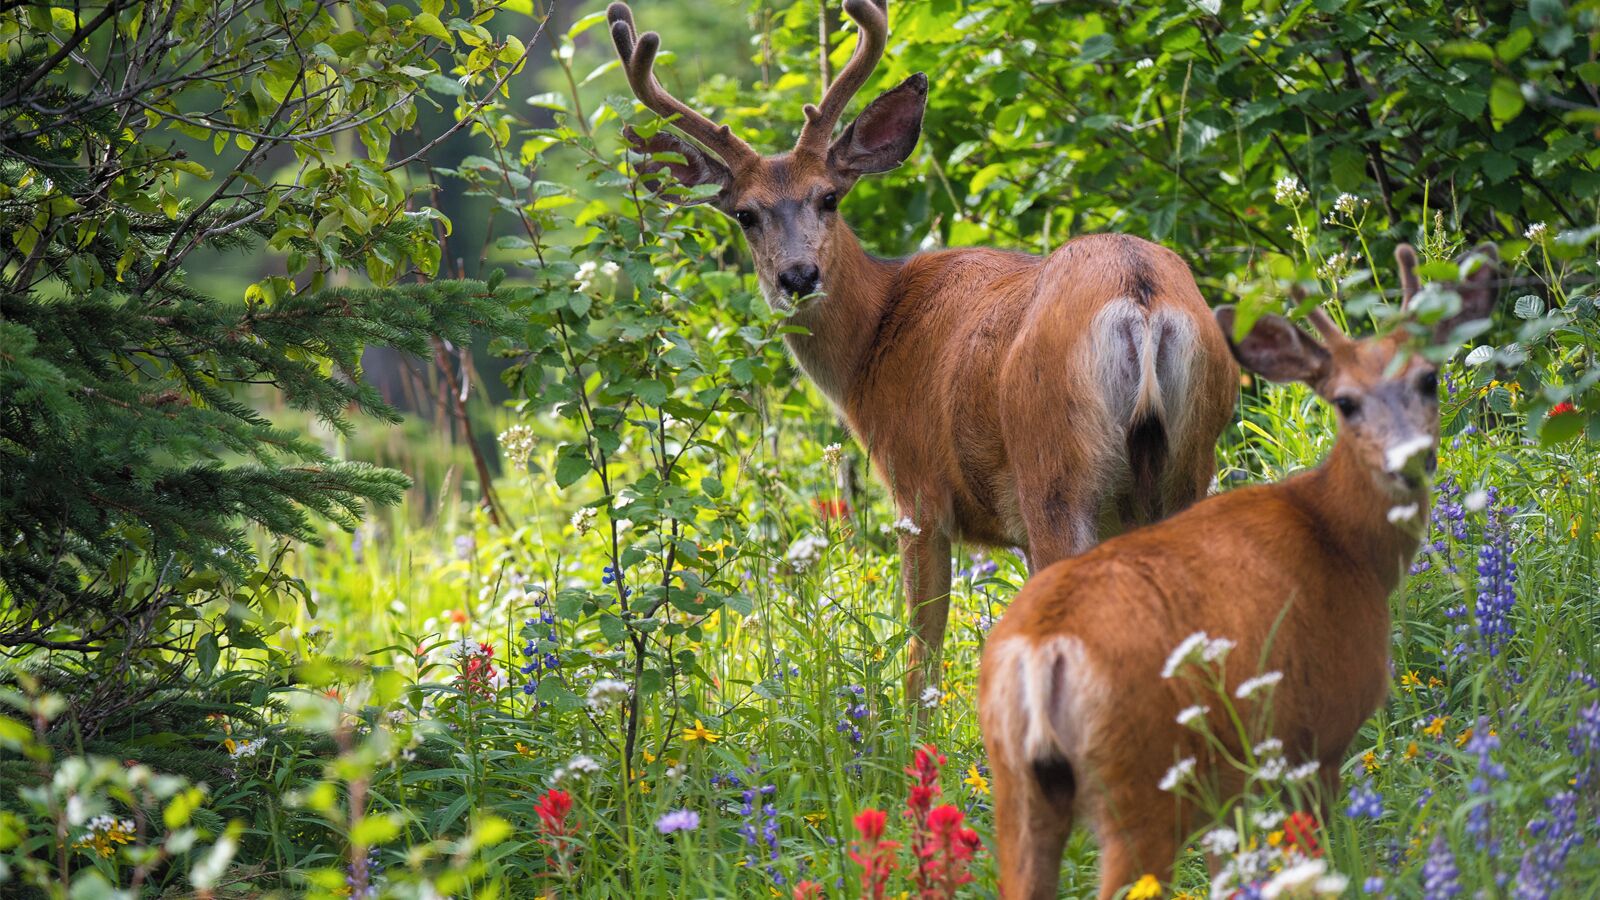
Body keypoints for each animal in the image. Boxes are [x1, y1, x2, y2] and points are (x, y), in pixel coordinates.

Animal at [603, 0, 1238, 701]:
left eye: (829, 196)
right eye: (745, 214)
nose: (798, 276)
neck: (875, 338)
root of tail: (1140, 298)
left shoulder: (919, 492)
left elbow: (920, 659)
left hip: (1055, 470)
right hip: (1189, 464)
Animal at [976, 244, 1499, 899]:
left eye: (1428, 379)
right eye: (1345, 401)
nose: (1406, 460)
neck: (1339, 537)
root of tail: (1041, 651)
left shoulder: (1230, 788)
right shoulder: (1318, 732)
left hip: (1021, 787)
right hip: (1143, 780)